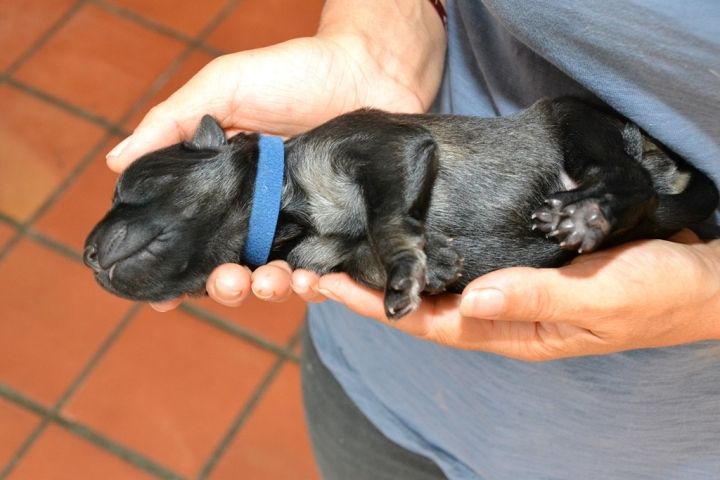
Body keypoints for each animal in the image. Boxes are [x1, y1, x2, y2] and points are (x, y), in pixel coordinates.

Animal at [84, 98, 719, 319]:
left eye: (129, 186)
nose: (87, 255)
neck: (290, 209)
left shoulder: (385, 144)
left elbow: (385, 217)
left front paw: (407, 264)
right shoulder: (330, 252)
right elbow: (373, 241)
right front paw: (431, 259)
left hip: (575, 121)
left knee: (629, 178)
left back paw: (586, 213)